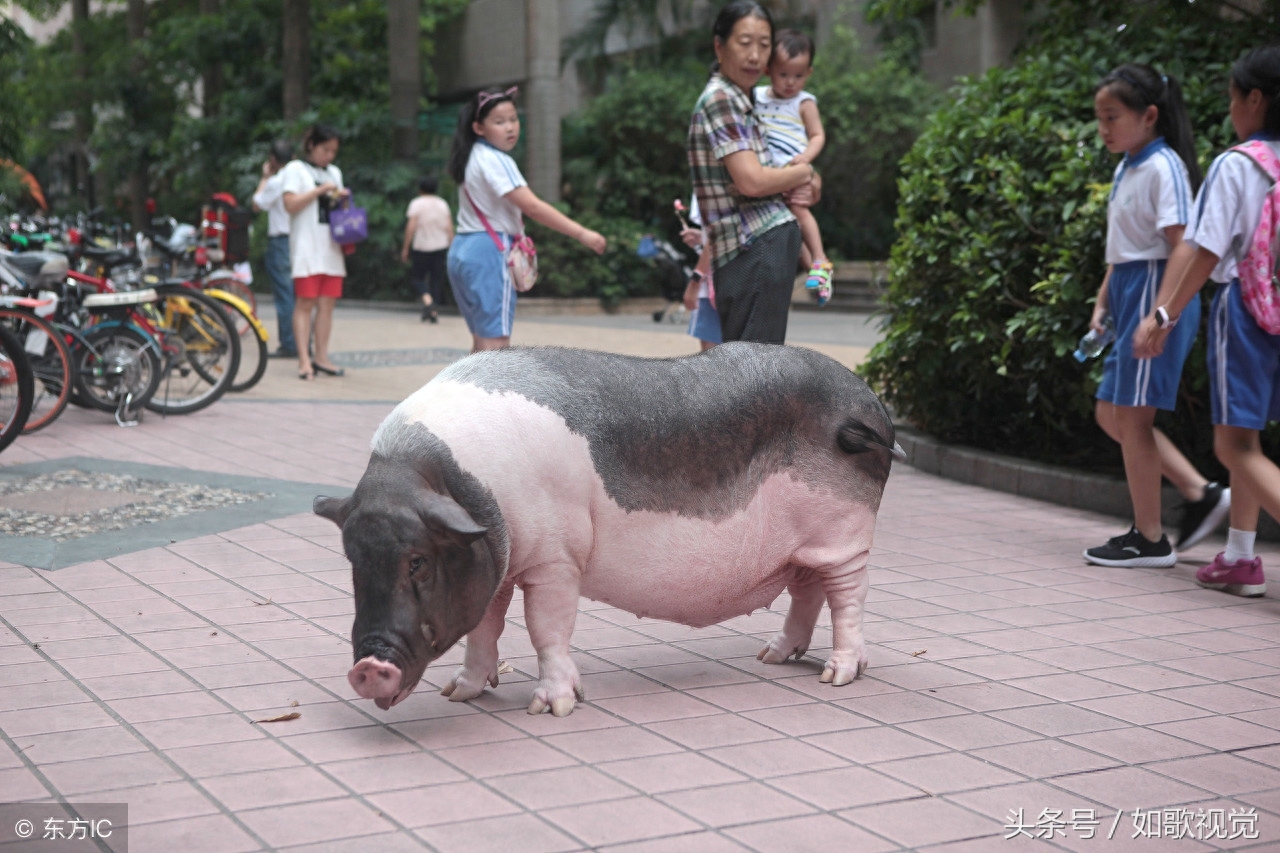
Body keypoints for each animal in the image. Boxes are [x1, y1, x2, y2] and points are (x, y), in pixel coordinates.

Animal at [316, 343, 906, 712]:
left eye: (417, 560)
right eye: (352, 560)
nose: (367, 667)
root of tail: (871, 405)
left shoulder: (556, 557)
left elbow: (545, 628)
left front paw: (551, 708)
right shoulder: (501, 561)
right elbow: (486, 625)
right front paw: (459, 694)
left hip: (845, 533)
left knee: (848, 597)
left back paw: (837, 675)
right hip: (803, 547)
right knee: (808, 591)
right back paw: (771, 657)